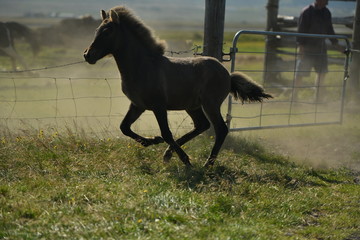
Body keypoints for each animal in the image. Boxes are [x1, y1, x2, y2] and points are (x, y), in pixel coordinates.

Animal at [83, 6, 272, 167]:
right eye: (96, 30)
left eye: (108, 32)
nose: (87, 55)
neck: (143, 66)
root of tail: (228, 74)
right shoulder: (138, 105)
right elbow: (124, 128)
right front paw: (152, 141)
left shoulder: (158, 106)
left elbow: (166, 133)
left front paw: (185, 159)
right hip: (193, 106)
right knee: (202, 125)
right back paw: (169, 154)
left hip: (210, 104)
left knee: (221, 129)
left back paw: (207, 164)